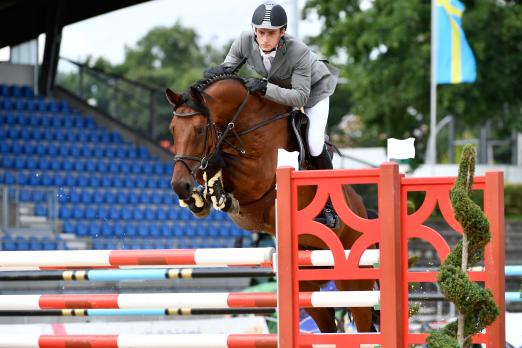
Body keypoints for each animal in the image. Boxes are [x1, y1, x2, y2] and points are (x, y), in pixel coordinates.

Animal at [165, 72, 372, 334]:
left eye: (200, 129)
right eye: (172, 130)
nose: (179, 186)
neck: (245, 123)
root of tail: (364, 210)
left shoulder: (258, 176)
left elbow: (220, 161)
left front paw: (216, 191)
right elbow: (208, 170)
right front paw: (203, 199)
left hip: (354, 281)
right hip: (308, 284)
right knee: (328, 325)